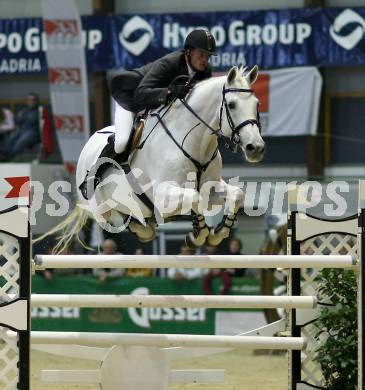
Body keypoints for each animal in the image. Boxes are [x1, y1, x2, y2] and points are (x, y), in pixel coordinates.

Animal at [52, 65, 264, 251]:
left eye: (257, 104)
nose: (256, 148)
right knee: (111, 218)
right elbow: (194, 198)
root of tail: (89, 143)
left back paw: (143, 227)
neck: (193, 142)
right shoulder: (163, 196)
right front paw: (198, 235)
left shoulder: (210, 189)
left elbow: (237, 195)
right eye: (232, 105)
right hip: (98, 208)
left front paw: (218, 233)